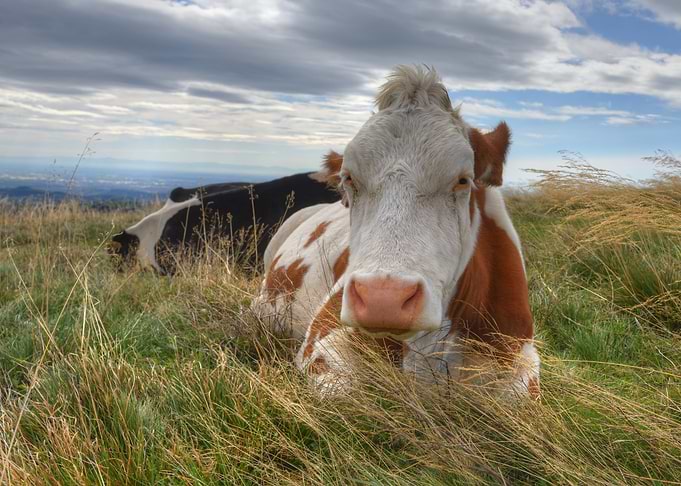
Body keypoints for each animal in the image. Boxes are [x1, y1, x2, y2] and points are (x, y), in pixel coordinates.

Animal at [255, 66, 539, 398]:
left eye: (463, 180)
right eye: (349, 178)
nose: (384, 299)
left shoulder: (522, 356)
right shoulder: (324, 334)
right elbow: (342, 393)